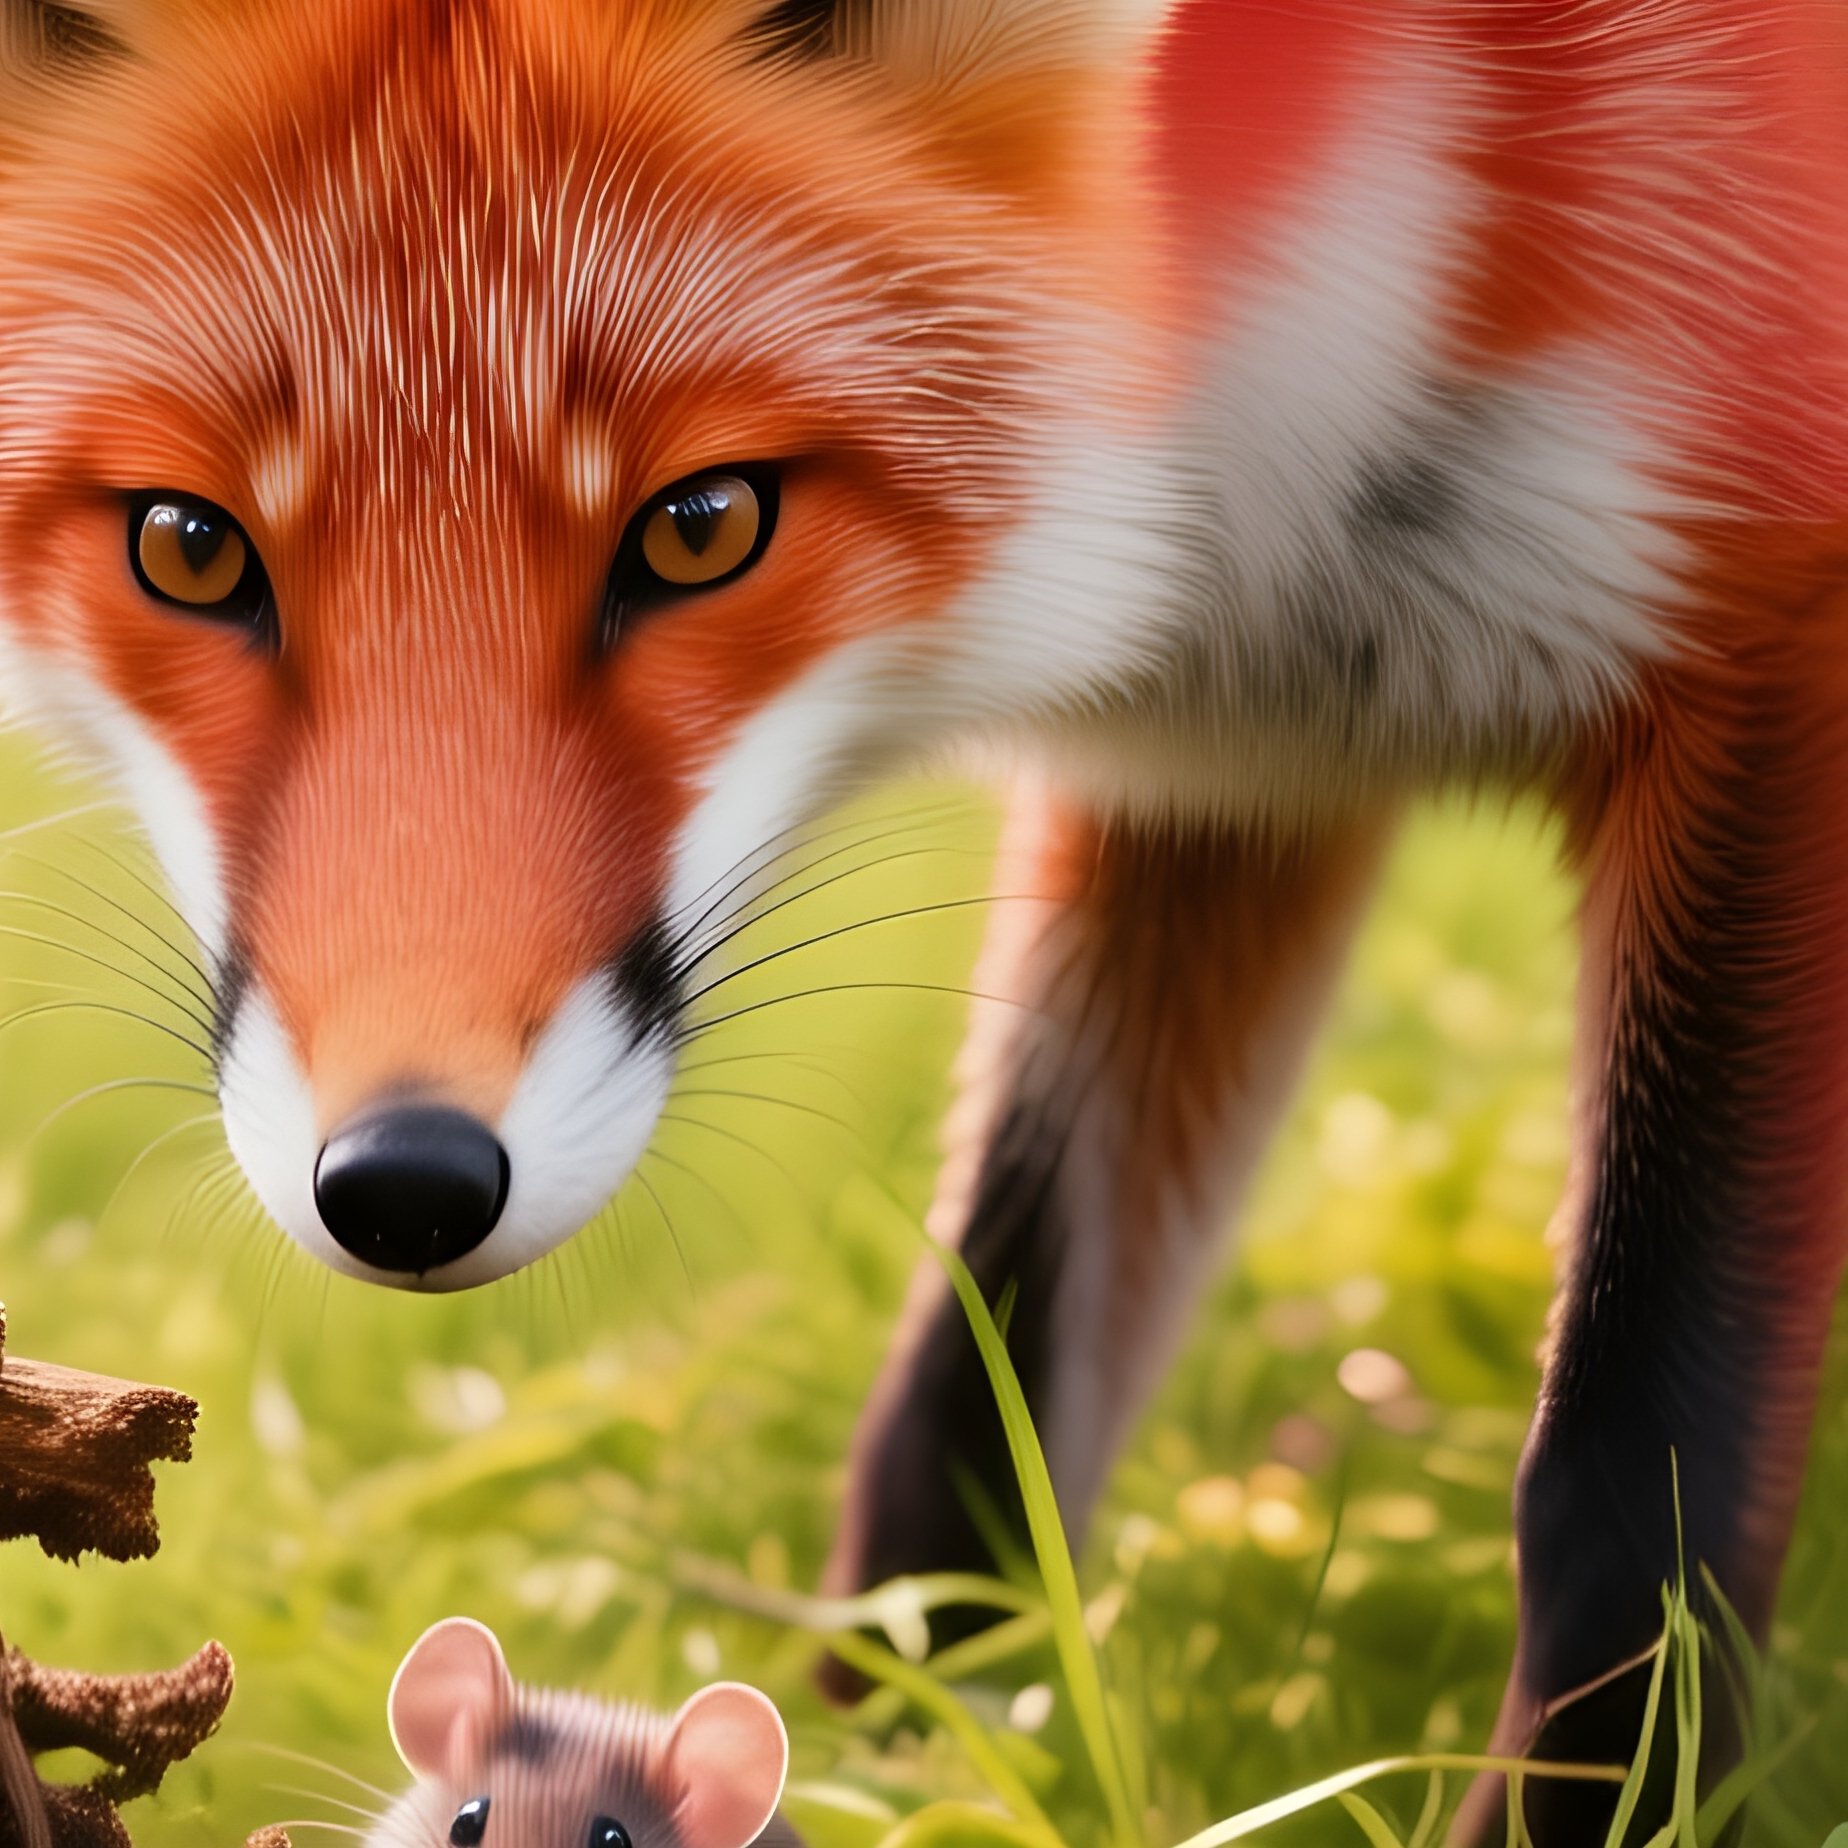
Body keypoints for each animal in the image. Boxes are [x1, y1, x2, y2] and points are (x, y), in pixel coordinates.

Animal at [4, 0, 1848, 1837]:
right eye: (187, 546)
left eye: (703, 526)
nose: (404, 1185)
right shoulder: (1230, 766)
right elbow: (977, 1391)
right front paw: (915, 1757)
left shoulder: (1769, 655)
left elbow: (1630, 1476)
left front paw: (1607, 1802)